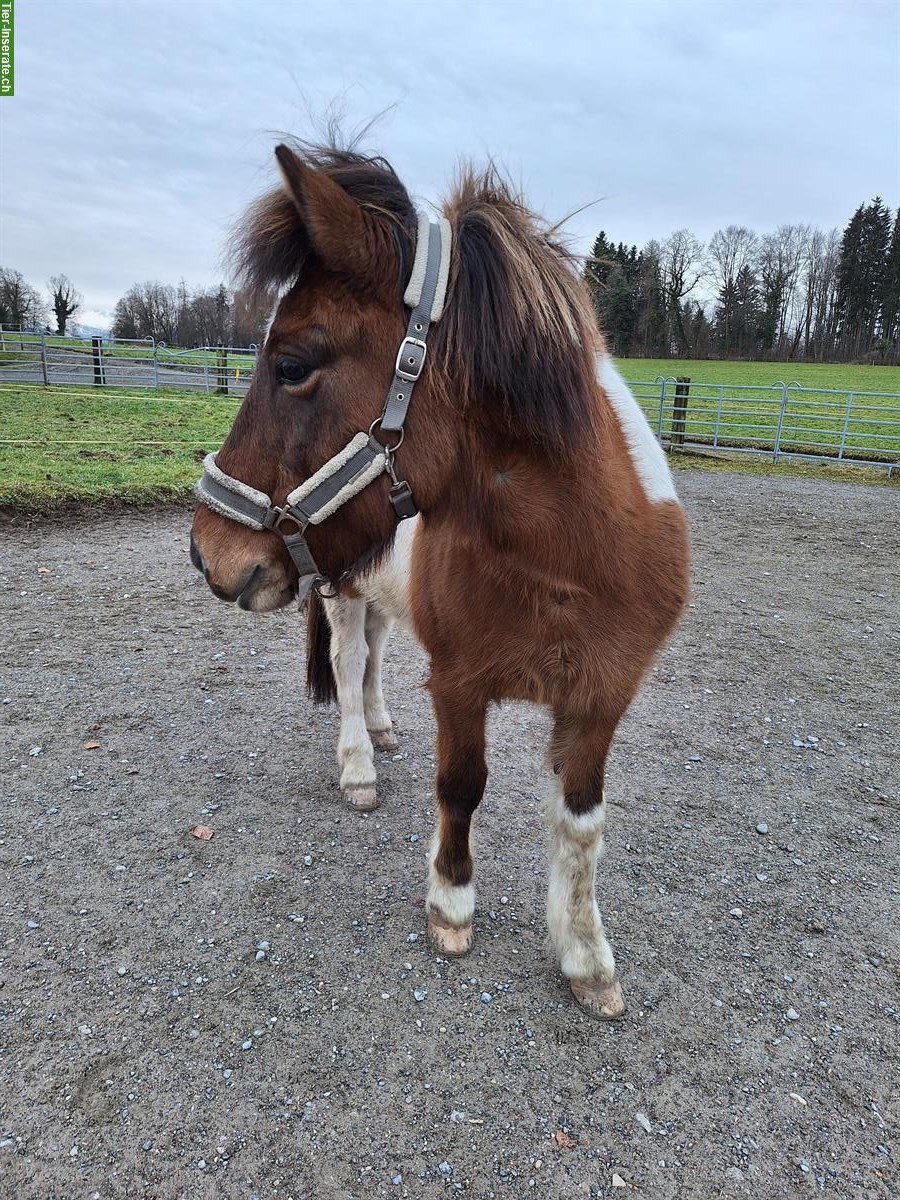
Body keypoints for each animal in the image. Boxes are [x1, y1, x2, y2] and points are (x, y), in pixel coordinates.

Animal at [190, 145, 691, 1017]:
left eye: (291, 364)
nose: (206, 550)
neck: (569, 566)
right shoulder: (461, 683)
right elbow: (461, 786)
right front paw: (451, 905)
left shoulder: (603, 696)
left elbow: (581, 823)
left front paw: (586, 956)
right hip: (343, 591)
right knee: (349, 666)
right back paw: (359, 763)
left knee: (375, 659)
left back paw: (383, 727)